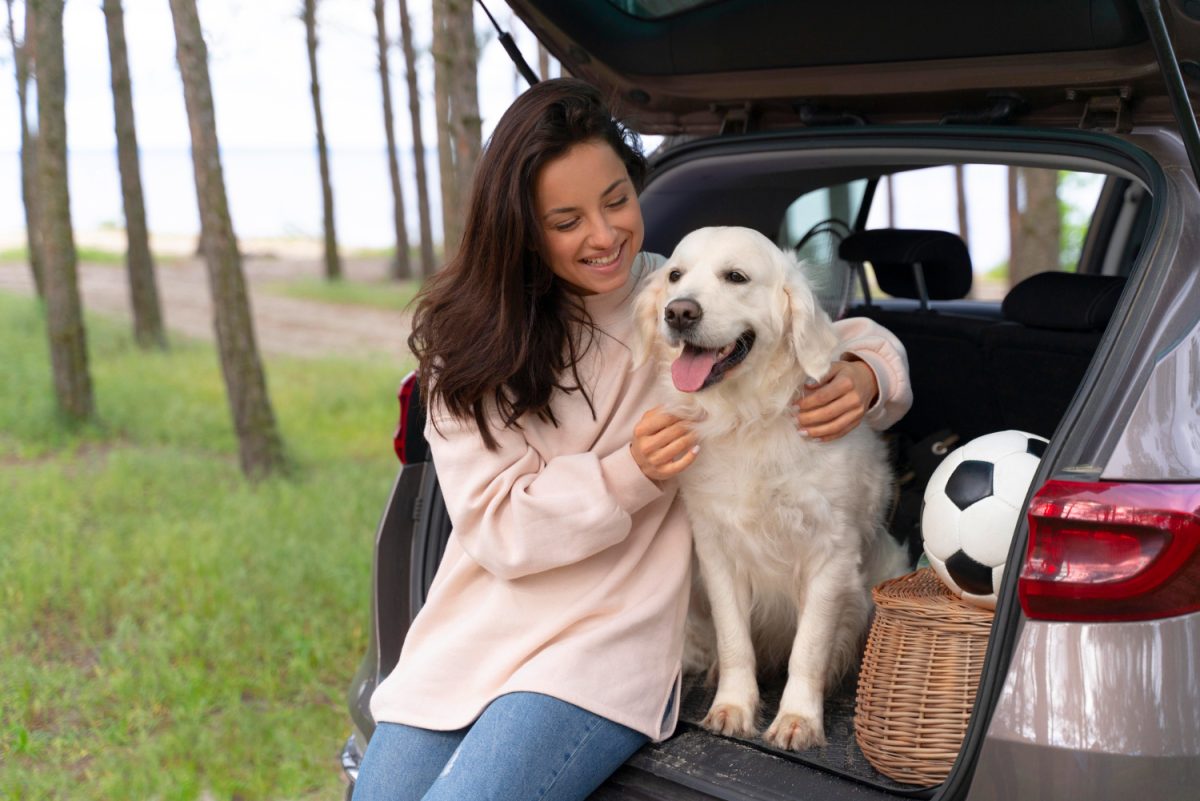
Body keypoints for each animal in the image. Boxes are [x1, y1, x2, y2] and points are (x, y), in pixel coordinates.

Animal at [633, 225, 902, 753]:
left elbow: (809, 649)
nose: (679, 311)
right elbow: (735, 640)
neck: (748, 418)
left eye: (736, 277)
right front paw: (733, 707)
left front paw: (798, 719)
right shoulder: (716, 550)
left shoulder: (830, 554)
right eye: (675, 275)